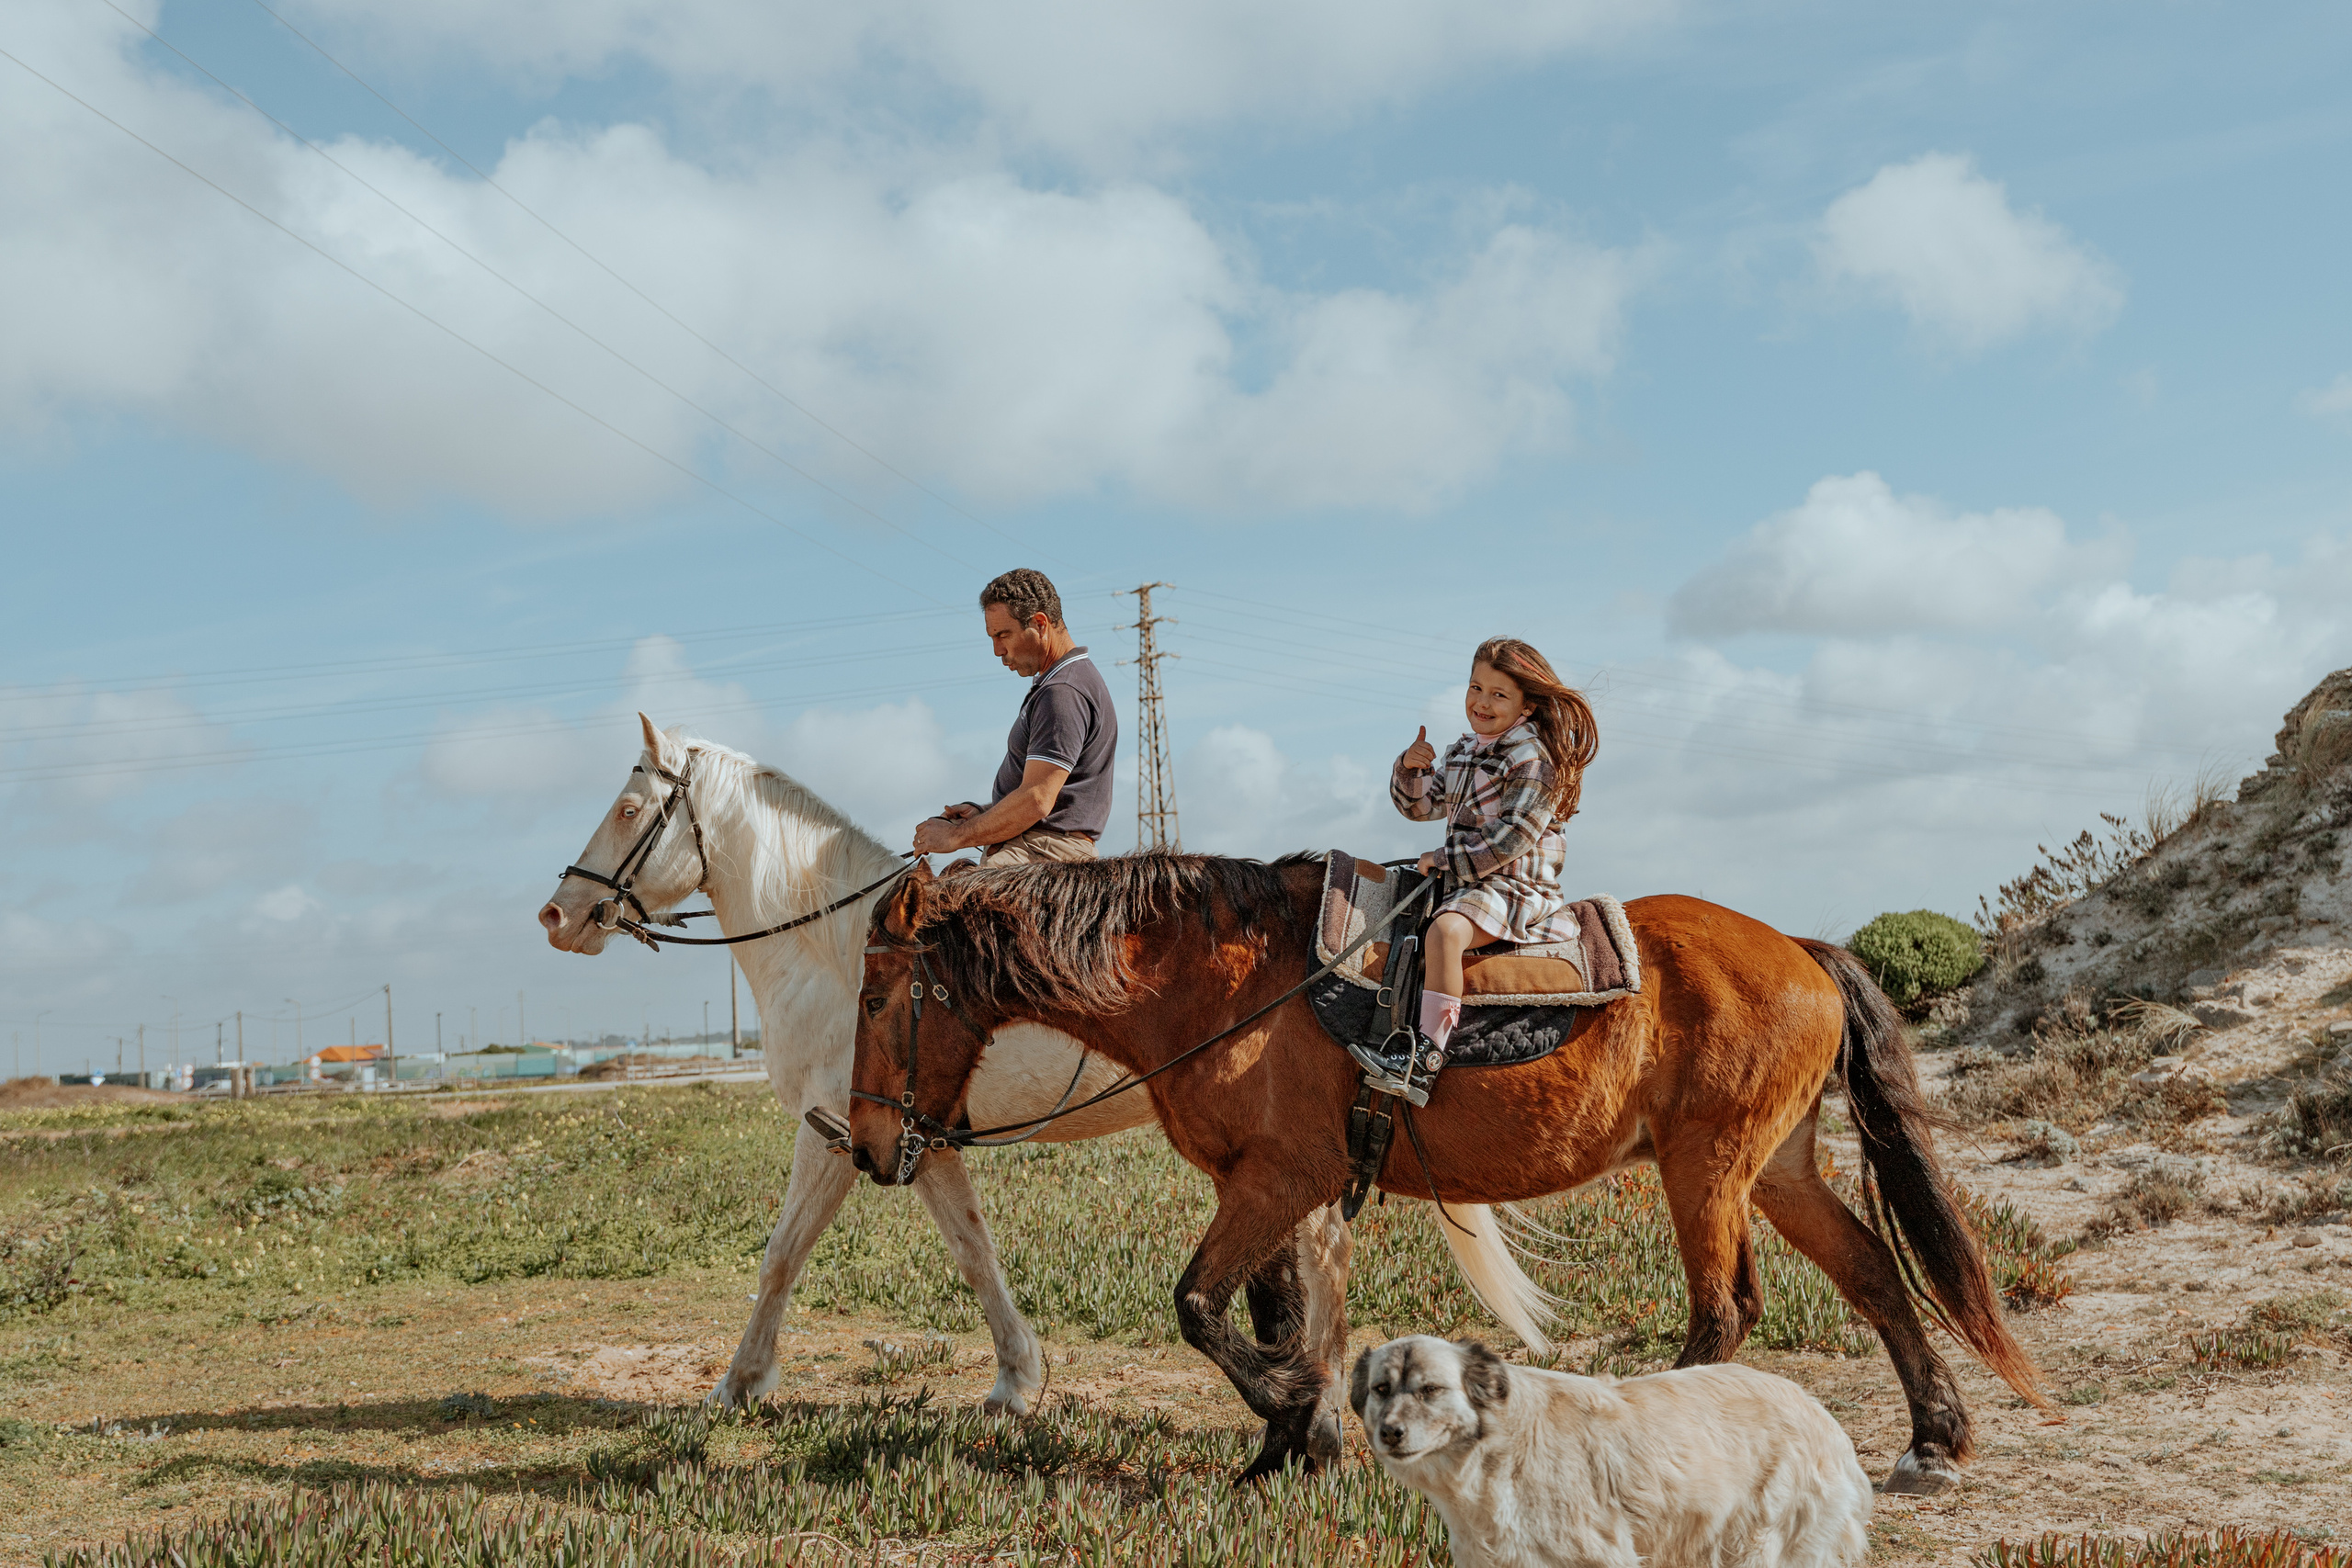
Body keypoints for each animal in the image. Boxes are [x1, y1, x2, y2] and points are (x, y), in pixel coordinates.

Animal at [537, 716, 1543, 1425]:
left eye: (628, 809)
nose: (558, 915)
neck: (838, 950)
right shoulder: (911, 1140)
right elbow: (973, 1249)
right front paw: (1019, 1379)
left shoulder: (839, 1133)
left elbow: (787, 1253)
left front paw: (737, 1385)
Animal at [841, 851, 2047, 1493]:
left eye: (874, 998)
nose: (862, 1145)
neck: (1217, 984)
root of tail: (1803, 950)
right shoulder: (1257, 1182)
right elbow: (1262, 1310)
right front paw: (1287, 1450)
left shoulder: (1279, 1178)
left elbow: (1198, 1306)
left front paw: (1300, 1409)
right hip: (1776, 1166)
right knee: (1873, 1274)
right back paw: (1934, 1439)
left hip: (1705, 1165)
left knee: (1725, 1309)